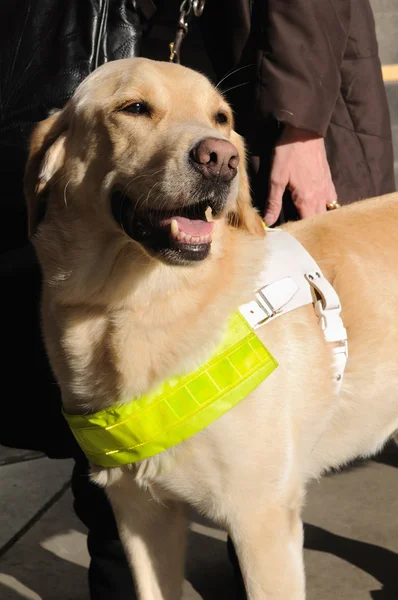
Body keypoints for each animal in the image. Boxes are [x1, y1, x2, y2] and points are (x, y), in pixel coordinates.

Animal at [24, 57, 398, 600]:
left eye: (221, 118)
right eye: (134, 108)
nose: (222, 159)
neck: (127, 307)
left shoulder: (261, 519)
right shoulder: (139, 512)